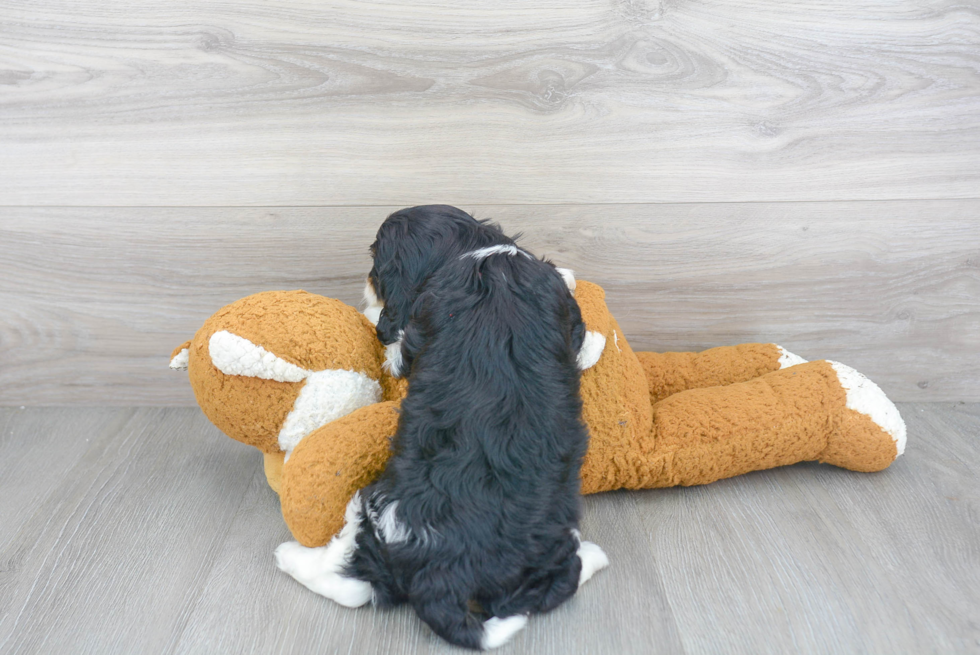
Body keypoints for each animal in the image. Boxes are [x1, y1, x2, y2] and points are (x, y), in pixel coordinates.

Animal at [276, 246, 608, 652]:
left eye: (377, 268)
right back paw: (593, 556)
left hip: (375, 508)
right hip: (547, 549)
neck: (494, 272)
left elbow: (399, 349)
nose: (366, 286)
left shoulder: (421, 322)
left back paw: (289, 557)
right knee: (552, 588)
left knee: (350, 582)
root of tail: (440, 574)